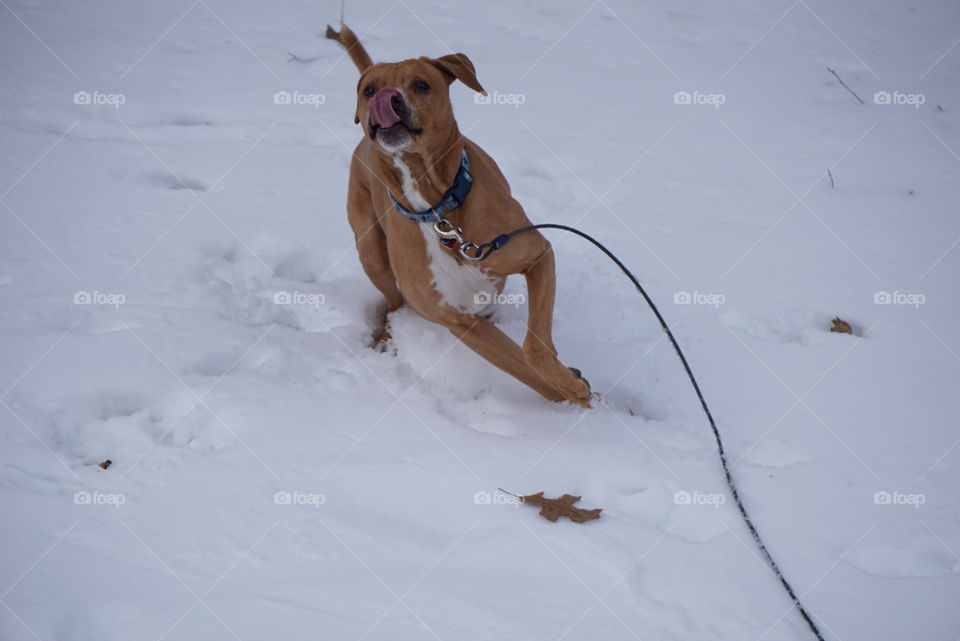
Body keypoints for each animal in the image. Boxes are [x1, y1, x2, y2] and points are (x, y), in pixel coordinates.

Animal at [326, 25, 588, 408]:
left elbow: (533, 351)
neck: (439, 211)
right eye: (369, 90)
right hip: (370, 249)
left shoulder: (536, 255)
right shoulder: (459, 322)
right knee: (392, 302)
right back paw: (386, 337)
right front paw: (576, 396)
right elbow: (524, 367)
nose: (386, 97)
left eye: (421, 84)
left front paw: (576, 390)